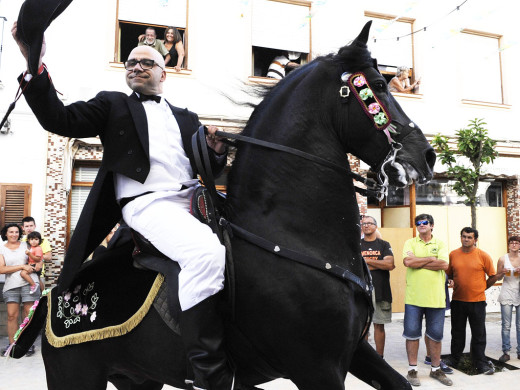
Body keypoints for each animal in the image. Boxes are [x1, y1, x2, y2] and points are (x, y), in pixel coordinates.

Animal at [14, 22, 434, 390]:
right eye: (378, 86)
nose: (426, 156)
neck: (291, 235)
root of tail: (49, 298)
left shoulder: (352, 352)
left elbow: (399, 383)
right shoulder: (317, 366)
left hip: (138, 378)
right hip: (77, 376)